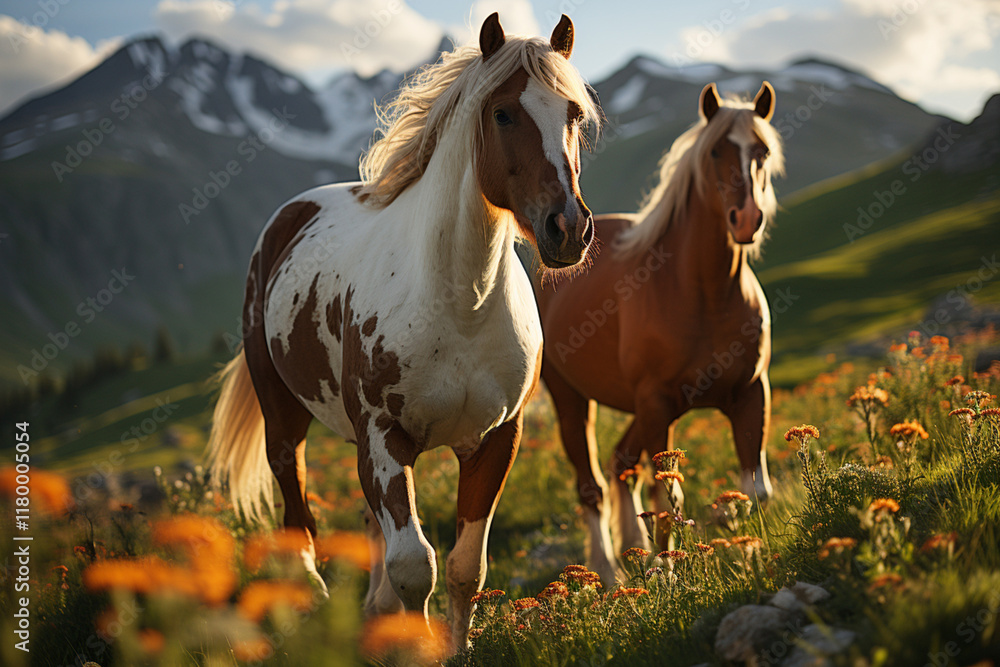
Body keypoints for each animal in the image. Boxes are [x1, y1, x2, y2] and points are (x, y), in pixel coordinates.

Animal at [206, 13, 598, 647]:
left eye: (573, 115)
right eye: (503, 113)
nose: (568, 228)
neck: (461, 304)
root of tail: (290, 216)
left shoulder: (495, 439)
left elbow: (465, 569)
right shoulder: (385, 438)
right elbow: (415, 566)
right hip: (284, 418)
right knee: (297, 514)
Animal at [534, 82, 784, 582]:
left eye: (762, 152)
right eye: (715, 152)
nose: (746, 218)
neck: (703, 293)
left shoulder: (751, 395)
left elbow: (754, 490)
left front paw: (754, 562)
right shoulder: (656, 404)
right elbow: (667, 499)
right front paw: (667, 576)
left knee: (621, 464)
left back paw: (634, 551)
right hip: (574, 401)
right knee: (592, 485)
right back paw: (609, 572)